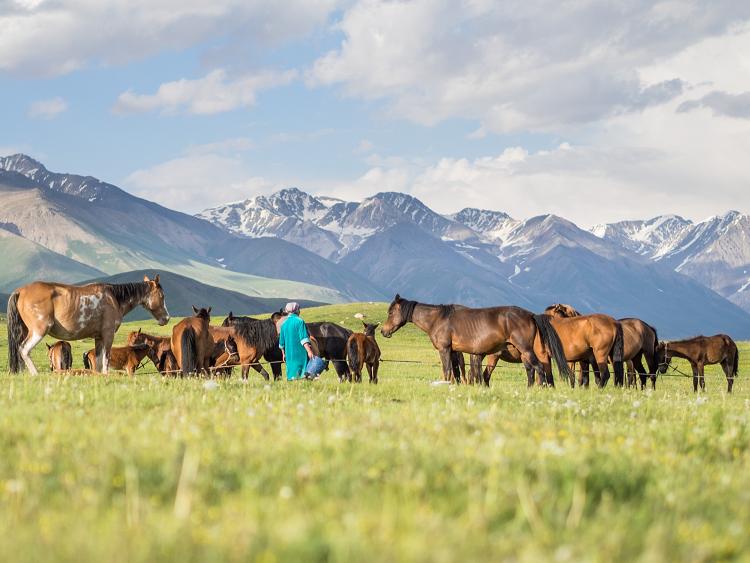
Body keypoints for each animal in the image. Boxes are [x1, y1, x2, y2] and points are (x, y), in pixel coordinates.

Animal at [7, 276, 170, 376]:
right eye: (162, 296)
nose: (166, 318)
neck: (113, 298)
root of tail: (20, 291)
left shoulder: (98, 338)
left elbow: (97, 361)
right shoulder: (108, 335)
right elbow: (106, 359)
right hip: (38, 331)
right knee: (24, 350)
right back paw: (35, 374)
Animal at [382, 298, 568, 386]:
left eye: (391, 312)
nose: (383, 331)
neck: (438, 319)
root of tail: (530, 314)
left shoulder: (445, 349)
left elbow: (447, 371)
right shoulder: (456, 352)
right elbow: (458, 373)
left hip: (526, 350)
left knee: (539, 369)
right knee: (532, 371)